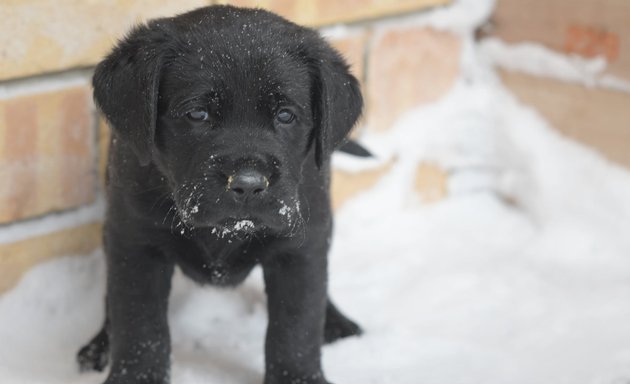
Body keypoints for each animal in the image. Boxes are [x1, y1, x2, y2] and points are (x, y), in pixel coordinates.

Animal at [79, 5, 366, 384]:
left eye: (286, 115)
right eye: (197, 113)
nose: (247, 184)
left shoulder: (299, 247)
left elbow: (297, 326)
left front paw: (298, 377)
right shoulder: (135, 242)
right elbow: (140, 325)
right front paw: (137, 376)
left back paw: (336, 322)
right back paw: (98, 345)